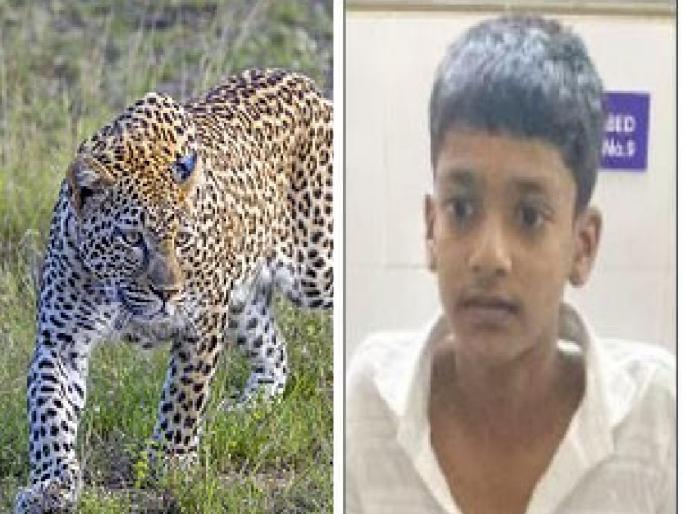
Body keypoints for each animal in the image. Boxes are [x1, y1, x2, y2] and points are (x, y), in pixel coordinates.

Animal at [14, 68, 332, 513]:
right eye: (132, 238)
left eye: (182, 237)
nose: (167, 291)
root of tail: (309, 85)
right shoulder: (60, 340)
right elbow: (49, 412)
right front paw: (52, 484)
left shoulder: (202, 319)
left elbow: (184, 393)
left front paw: (170, 461)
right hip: (243, 300)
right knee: (275, 349)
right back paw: (251, 405)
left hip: (315, 269)